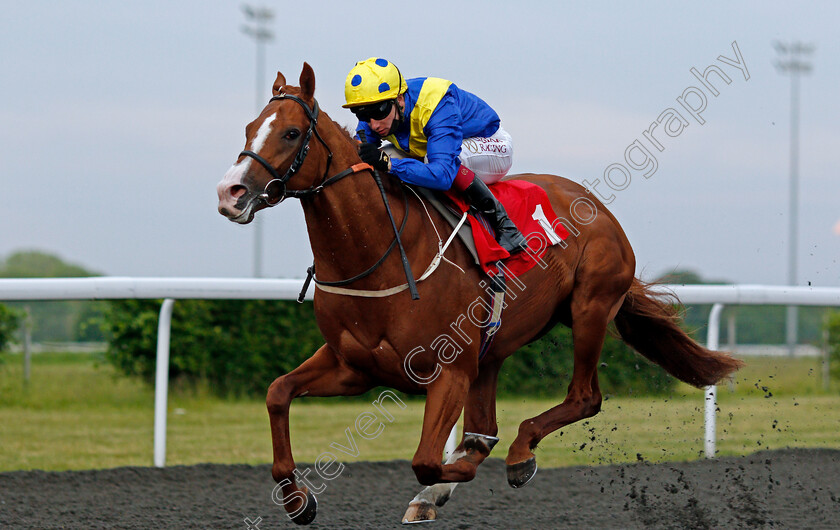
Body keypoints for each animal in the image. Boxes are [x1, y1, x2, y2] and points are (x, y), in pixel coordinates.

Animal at [217, 64, 740, 520]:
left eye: (290, 133)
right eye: (249, 127)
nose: (230, 193)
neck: (378, 255)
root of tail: (598, 208)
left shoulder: (448, 371)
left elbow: (427, 460)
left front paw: (446, 481)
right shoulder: (352, 367)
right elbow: (278, 393)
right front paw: (297, 500)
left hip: (589, 307)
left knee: (583, 398)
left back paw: (520, 454)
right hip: (493, 347)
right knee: (485, 427)